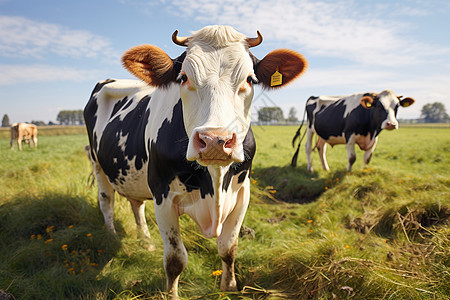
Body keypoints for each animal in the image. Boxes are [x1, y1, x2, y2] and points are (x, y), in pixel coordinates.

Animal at [84, 25, 308, 298]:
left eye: (250, 79)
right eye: (183, 78)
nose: (215, 140)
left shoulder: (242, 193)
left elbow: (228, 248)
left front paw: (229, 287)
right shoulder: (163, 195)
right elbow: (175, 260)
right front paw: (171, 294)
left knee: (136, 205)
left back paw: (146, 242)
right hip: (97, 163)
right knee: (106, 200)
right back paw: (113, 237)